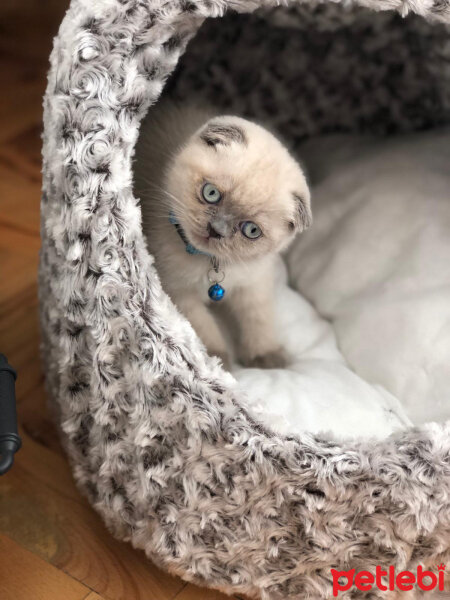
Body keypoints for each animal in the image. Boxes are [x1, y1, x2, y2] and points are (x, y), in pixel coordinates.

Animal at [133, 104, 310, 370]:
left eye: (251, 231)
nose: (216, 230)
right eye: (211, 193)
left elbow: (258, 316)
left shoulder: (254, 282)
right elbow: (202, 326)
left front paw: (266, 355)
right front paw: (216, 361)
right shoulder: (177, 292)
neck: (211, 263)